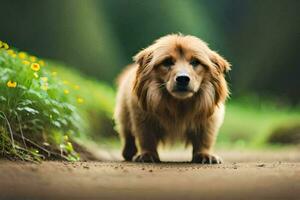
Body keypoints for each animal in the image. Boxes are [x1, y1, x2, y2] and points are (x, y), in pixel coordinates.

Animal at [113, 33, 231, 163]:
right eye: (167, 62)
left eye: (195, 62)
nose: (183, 78)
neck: (179, 104)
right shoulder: (141, 116)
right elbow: (146, 137)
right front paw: (148, 154)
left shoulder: (209, 119)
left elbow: (205, 138)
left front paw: (204, 154)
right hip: (124, 114)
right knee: (127, 134)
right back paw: (128, 152)